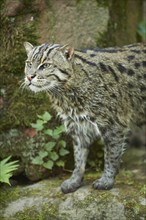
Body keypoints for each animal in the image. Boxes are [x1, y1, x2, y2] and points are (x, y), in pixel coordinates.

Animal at [22, 41, 146, 192]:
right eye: (28, 63)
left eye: (45, 65)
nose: (29, 77)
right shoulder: (77, 125)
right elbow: (79, 156)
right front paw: (75, 180)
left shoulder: (113, 124)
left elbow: (112, 154)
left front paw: (107, 180)